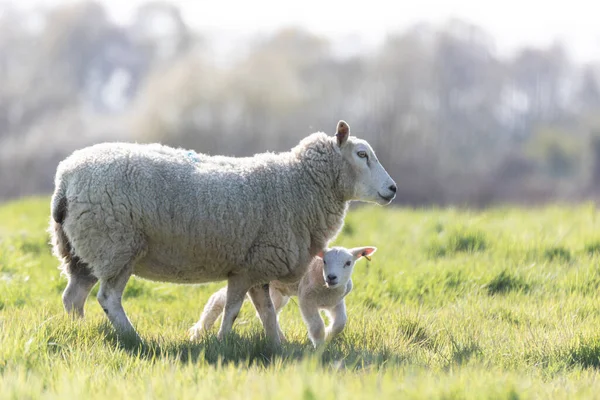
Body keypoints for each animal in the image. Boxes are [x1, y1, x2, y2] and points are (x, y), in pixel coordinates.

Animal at [195, 245, 378, 346]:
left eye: (348, 263)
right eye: (324, 261)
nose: (332, 277)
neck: (326, 287)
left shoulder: (336, 301)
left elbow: (340, 322)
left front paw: (328, 334)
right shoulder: (306, 298)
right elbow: (316, 325)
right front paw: (319, 345)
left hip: (277, 292)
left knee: (266, 312)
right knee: (221, 299)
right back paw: (199, 331)